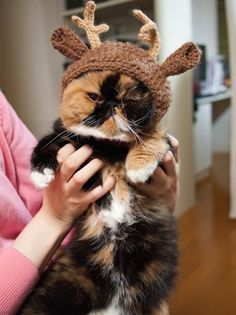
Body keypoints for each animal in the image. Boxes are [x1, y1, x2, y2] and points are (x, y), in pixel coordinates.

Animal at [19, 69, 178, 315]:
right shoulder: (65, 137)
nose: (111, 105)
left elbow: (154, 136)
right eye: (94, 96)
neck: (108, 145)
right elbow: (49, 140)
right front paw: (41, 173)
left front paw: (138, 168)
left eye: (127, 100)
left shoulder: (166, 146)